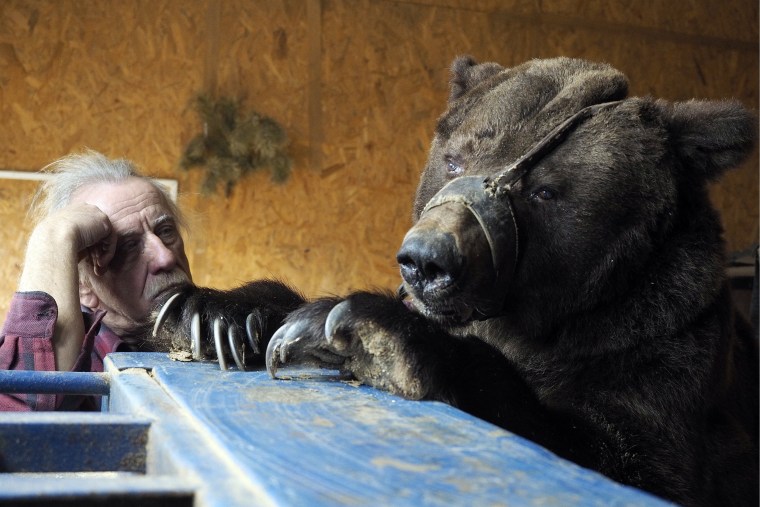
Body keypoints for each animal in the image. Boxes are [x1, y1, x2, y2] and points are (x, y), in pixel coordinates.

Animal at [260, 57, 756, 506]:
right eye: (453, 161)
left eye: (544, 191)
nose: (426, 260)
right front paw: (257, 318)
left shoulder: (661, 351)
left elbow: (625, 454)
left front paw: (356, 327)